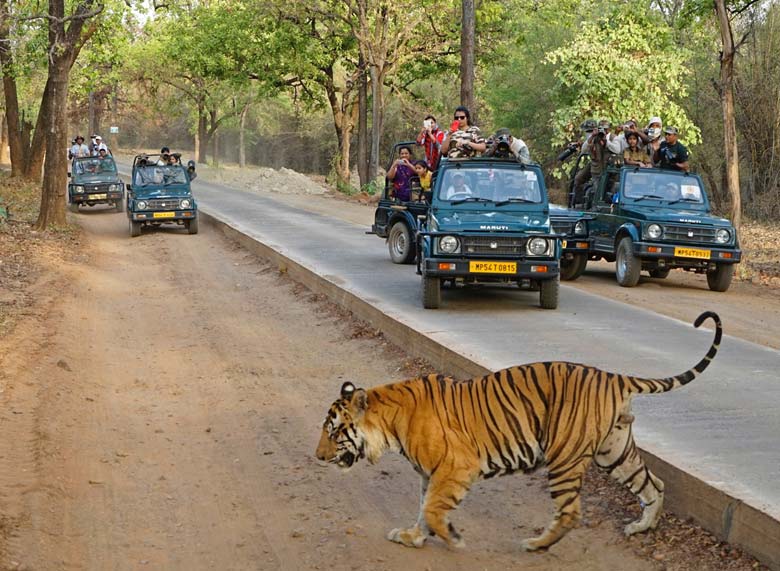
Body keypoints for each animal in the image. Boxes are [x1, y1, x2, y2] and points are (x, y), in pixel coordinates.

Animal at [314, 312, 724, 556]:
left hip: (564, 457)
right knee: (653, 484)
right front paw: (413, 537)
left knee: (571, 511)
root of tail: (612, 376)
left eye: (334, 431)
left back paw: (537, 544)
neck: (389, 423)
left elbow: (432, 508)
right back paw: (640, 527)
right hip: (615, 451)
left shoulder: (456, 467)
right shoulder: (431, 474)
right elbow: (423, 509)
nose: (318, 457)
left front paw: (453, 538)